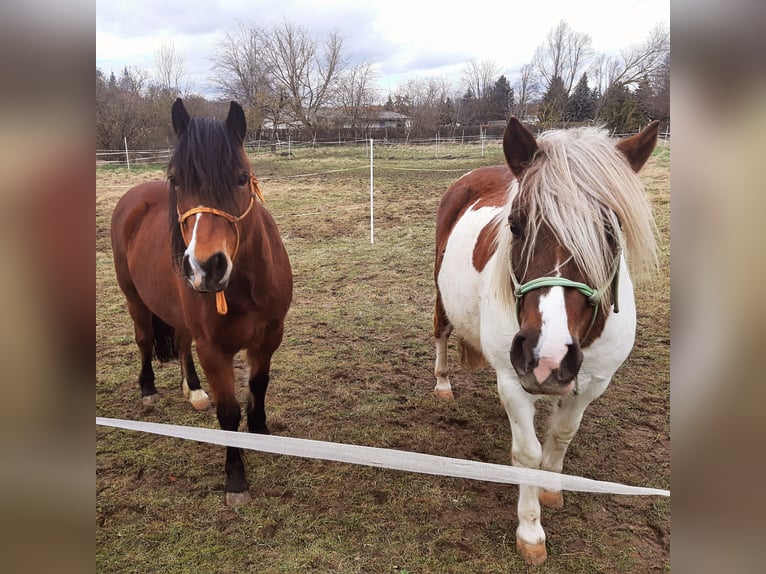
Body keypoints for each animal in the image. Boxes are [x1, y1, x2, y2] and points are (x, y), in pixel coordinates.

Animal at [110, 98, 293, 505]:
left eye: (242, 178)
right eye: (177, 180)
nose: (205, 267)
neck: (245, 285)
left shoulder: (269, 336)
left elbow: (259, 385)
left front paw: (262, 433)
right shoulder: (214, 350)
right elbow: (228, 413)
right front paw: (236, 480)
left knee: (180, 343)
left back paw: (193, 390)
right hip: (135, 300)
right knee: (144, 340)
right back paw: (148, 389)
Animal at [433, 118, 659, 564]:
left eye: (611, 233)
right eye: (516, 225)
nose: (546, 356)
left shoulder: (591, 383)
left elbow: (562, 434)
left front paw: (553, 489)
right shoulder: (512, 380)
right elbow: (527, 455)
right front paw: (531, 531)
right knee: (441, 334)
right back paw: (443, 383)